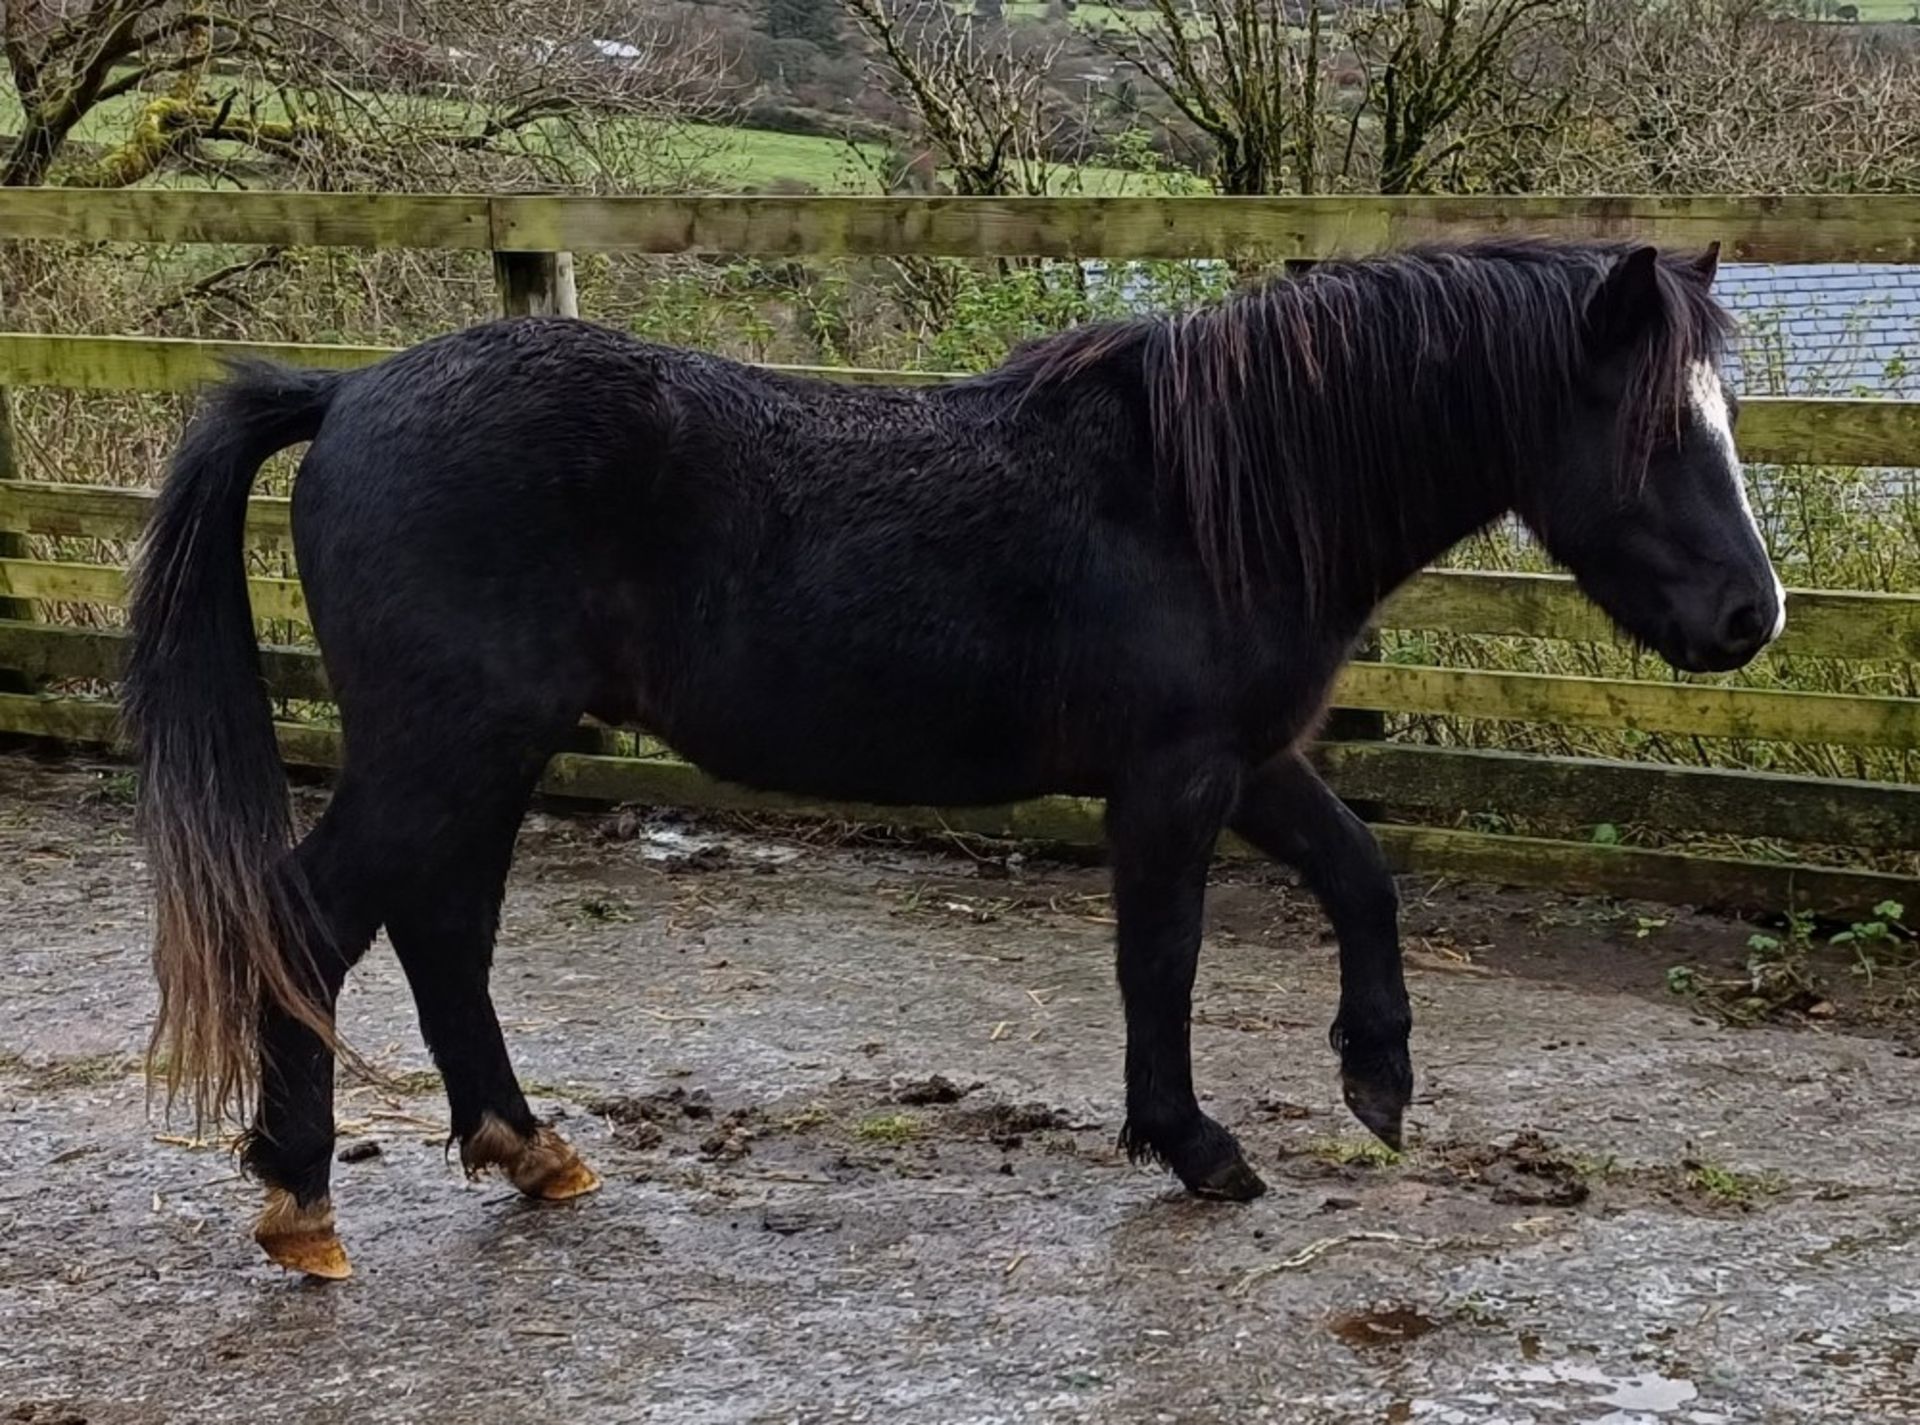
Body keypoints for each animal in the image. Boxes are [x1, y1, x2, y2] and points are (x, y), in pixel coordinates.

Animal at [127, 240, 1781, 1275]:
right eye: (1655, 435)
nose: (1750, 617)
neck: (1205, 493)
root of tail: (349, 392)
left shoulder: (1251, 759)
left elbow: (1364, 876)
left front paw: (1377, 1076)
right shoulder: (1176, 779)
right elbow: (1160, 962)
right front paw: (1194, 1143)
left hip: (487, 751)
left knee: (443, 933)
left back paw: (528, 1150)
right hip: (444, 748)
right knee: (307, 922)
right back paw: (300, 1199)